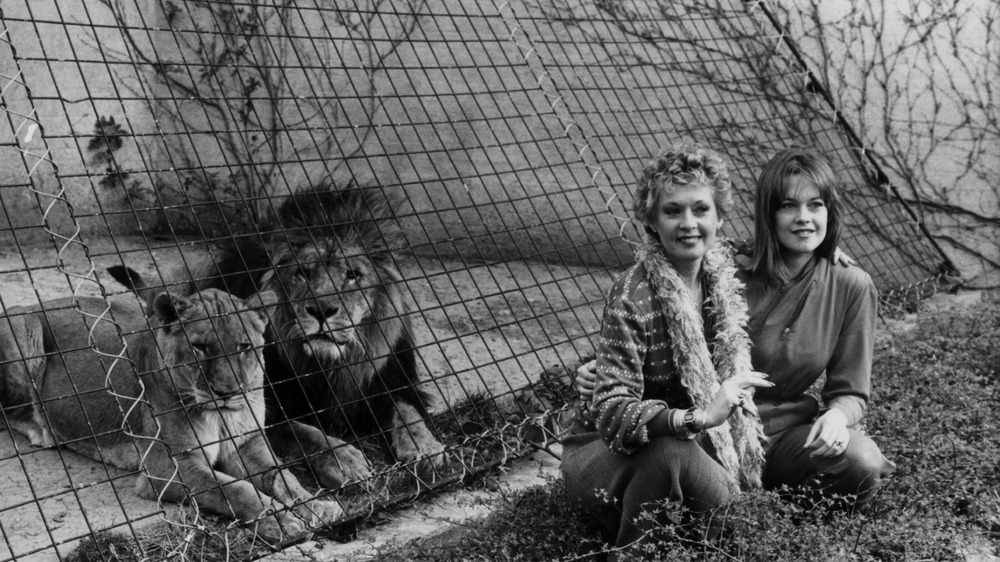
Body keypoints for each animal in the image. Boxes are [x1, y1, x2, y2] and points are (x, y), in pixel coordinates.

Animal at [0, 286, 344, 540]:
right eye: (200, 347)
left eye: (244, 346)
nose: (227, 392)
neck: (220, 416)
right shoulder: (167, 467)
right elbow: (236, 490)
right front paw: (283, 523)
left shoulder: (245, 444)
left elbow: (282, 476)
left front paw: (318, 507)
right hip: (25, 329)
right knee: (10, 410)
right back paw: (43, 431)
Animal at [108, 184, 446, 486]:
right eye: (304, 273)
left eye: (353, 275)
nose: (322, 310)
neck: (325, 367)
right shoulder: (264, 409)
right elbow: (305, 432)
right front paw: (343, 460)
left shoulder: (389, 382)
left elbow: (405, 410)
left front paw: (423, 445)